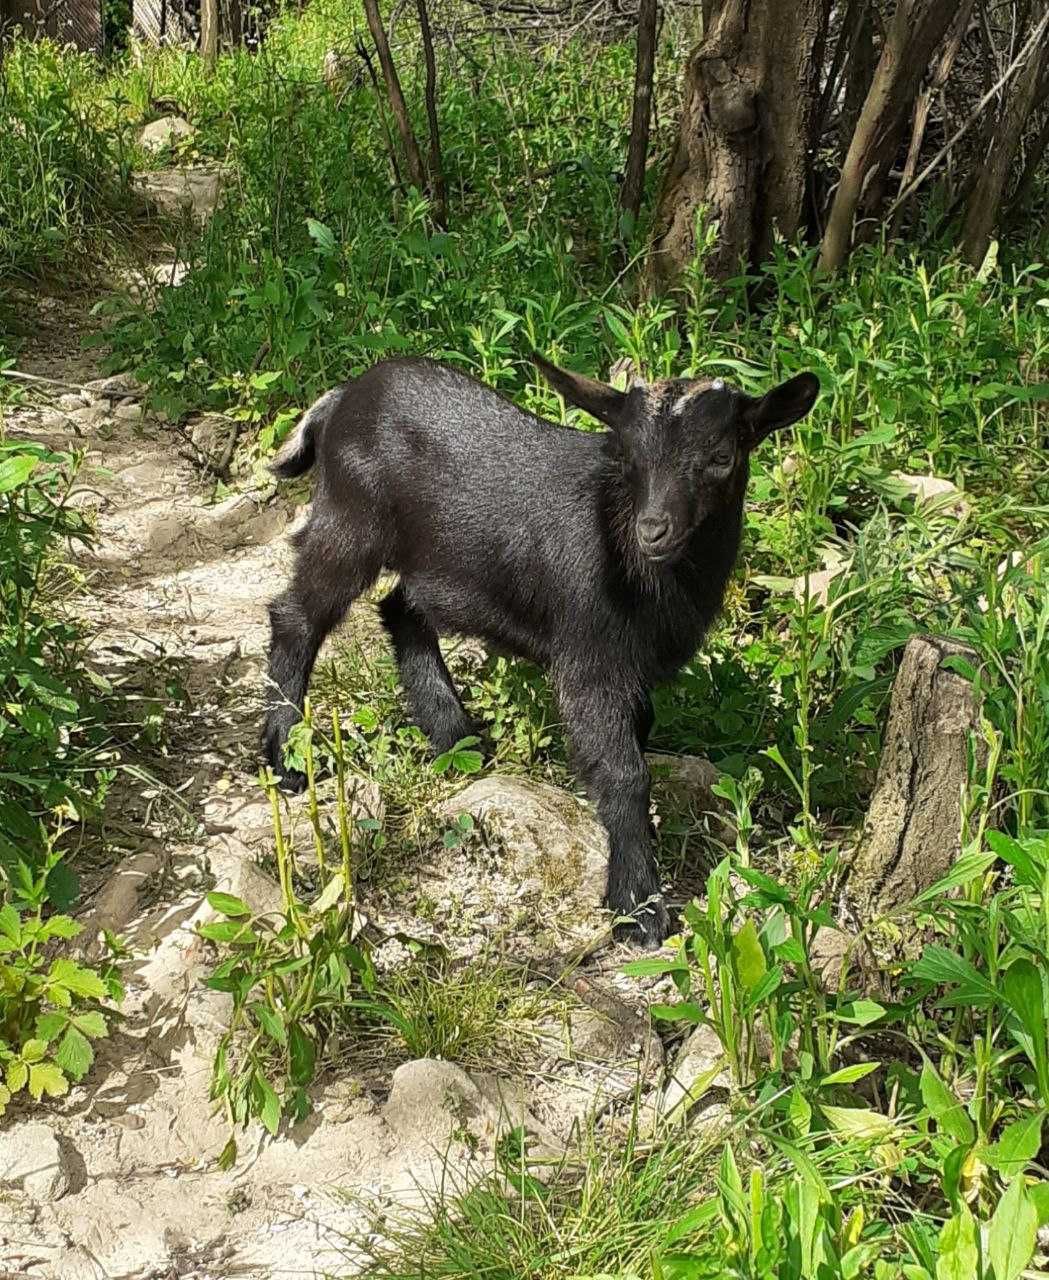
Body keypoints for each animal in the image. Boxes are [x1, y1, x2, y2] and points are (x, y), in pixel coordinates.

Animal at [262, 355, 818, 947]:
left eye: (721, 456)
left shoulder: (631, 664)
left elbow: (638, 736)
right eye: (628, 455)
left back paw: (453, 736)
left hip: (437, 561)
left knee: (400, 609)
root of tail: (343, 397)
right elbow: (625, 771)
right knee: (297, 616)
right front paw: (637, 907)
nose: (653, 530)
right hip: (350, 521)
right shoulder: (589, 657)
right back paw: (285, 758)